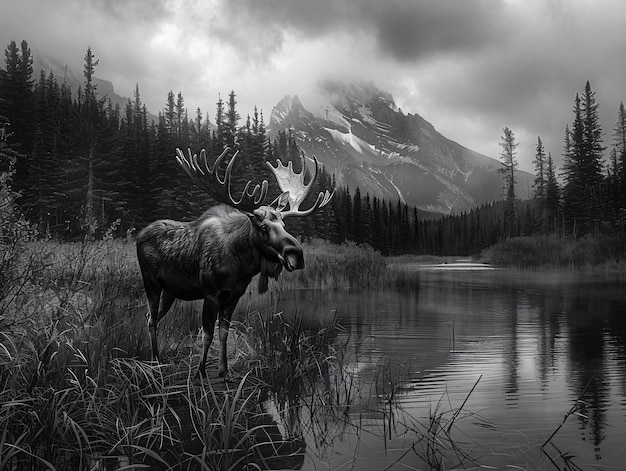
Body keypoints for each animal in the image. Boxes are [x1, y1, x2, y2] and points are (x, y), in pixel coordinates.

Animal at [136, 148, 332, 380]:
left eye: (284, 225)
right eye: (264, 228)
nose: (297, 255)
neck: (242, 265)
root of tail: (138, 235)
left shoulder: (233, 295)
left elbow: (223, 333)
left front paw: (224, 370)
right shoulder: (211, 294)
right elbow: (207, 334)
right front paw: (201, 372)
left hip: (170, 291)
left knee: (152, 317)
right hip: (151, 283)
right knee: (151, 318)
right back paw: (155, 361)